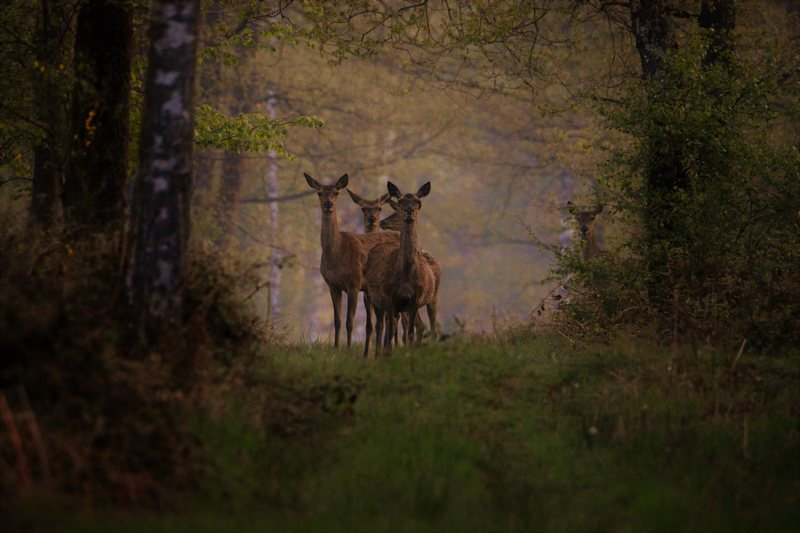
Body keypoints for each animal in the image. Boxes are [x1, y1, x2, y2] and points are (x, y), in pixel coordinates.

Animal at [304, 173, 399, 349]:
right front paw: (336, 348)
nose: (328, 204)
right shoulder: (332, 285)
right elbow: (337, 320)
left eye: (336, 192)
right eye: (319, 193)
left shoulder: (354, 283)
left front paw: (348, 349)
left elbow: (350, 321)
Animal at [364, 181, 441, 356]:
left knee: (430, 327)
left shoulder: (414, 300)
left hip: (433, 297)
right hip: (373, 298)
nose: (409, 211)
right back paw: (377, 354)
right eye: (400, 203)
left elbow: (410, 331)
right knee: (380, 326)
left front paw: (408, 354)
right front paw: (388, 354)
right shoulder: (389, 298)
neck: (405, 277)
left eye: (418, 202)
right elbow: (391, 329)